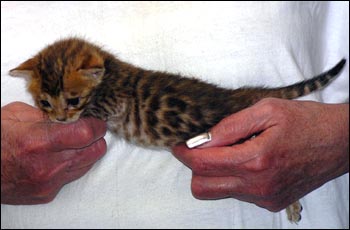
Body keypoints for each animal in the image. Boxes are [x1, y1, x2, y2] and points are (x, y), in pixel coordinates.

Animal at [9, 37, 346, 223]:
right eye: (45, 101)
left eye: (73, 100)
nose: (59, 119)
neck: (109, 71)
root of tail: (235, 96)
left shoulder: (112, 104)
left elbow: (94, 110)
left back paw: (292, 202)